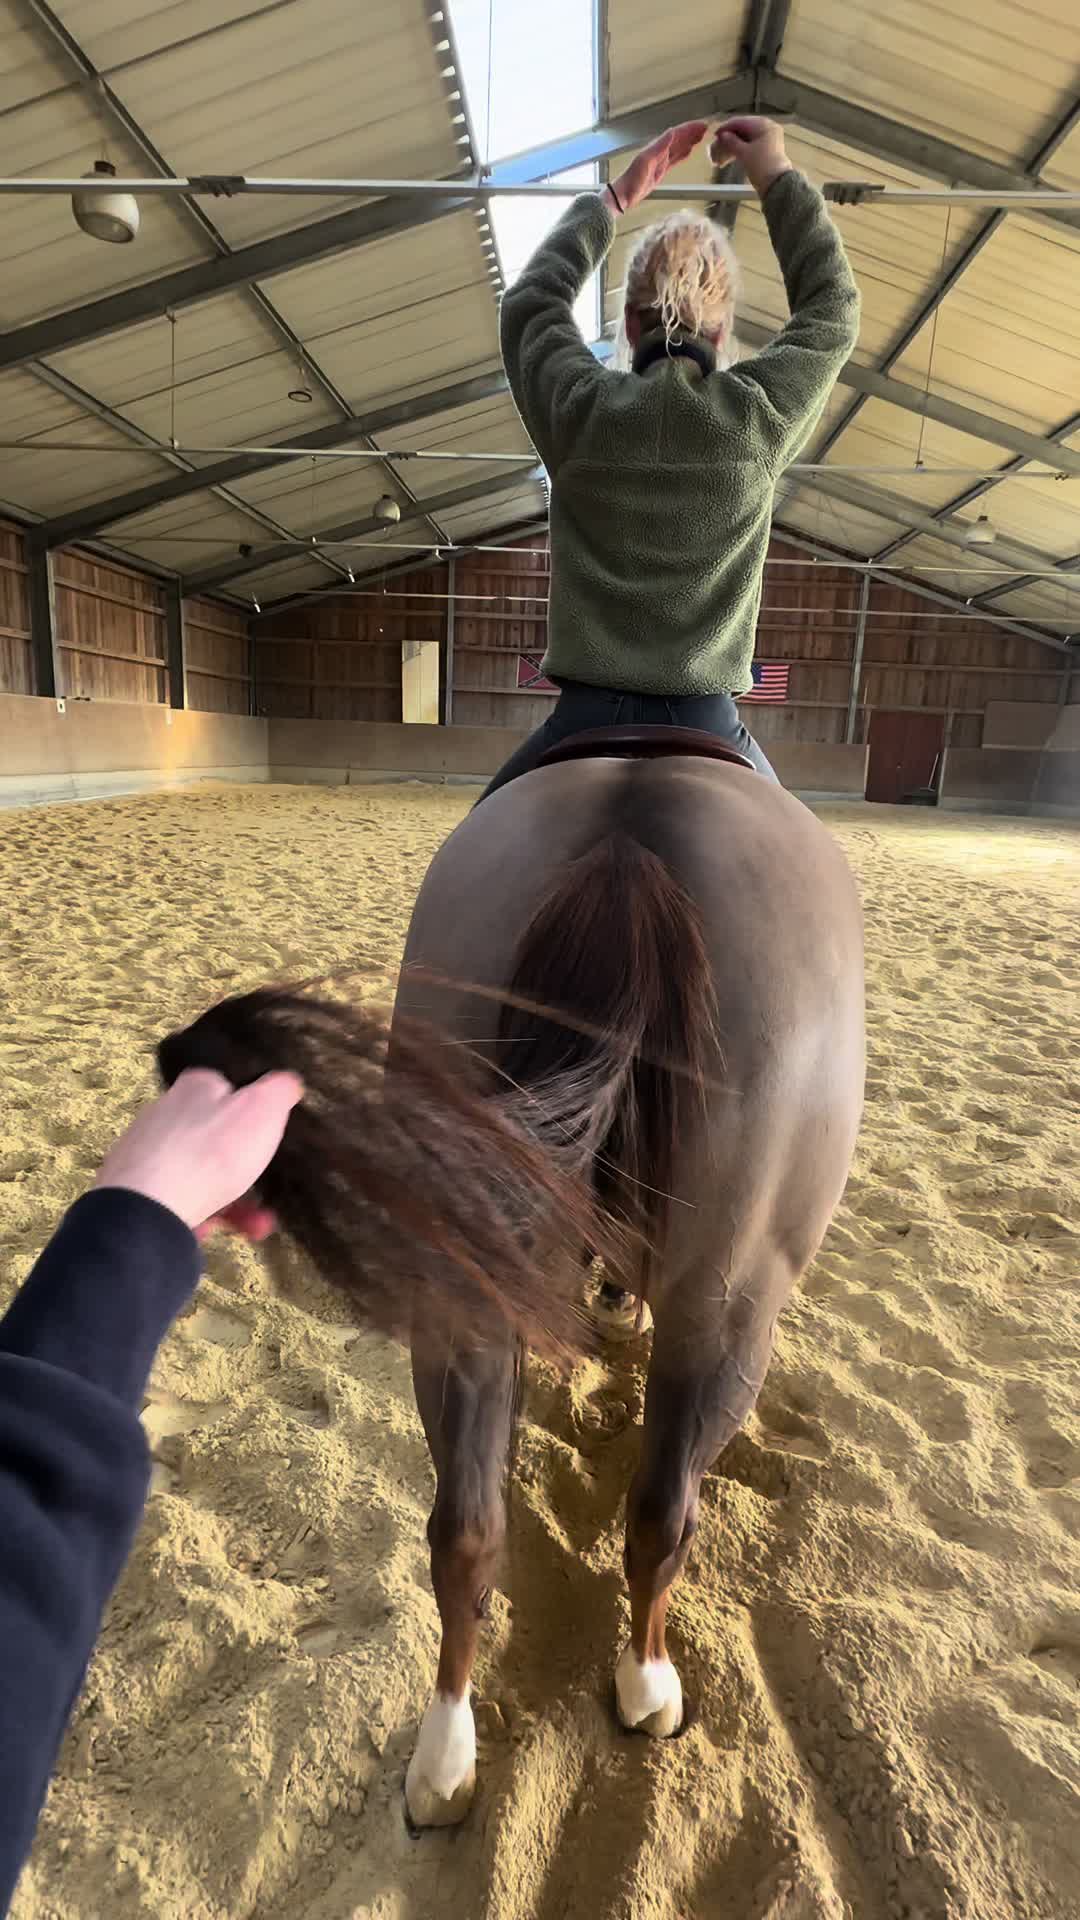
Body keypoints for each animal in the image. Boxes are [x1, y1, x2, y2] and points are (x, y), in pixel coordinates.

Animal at [393, 731, 865, 1827]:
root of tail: (627, 843)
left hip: (467, 1283)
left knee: (465, 1528)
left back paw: (443, 1762)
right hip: (731, 1305)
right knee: (662, 1510)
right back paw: (648, 1688)